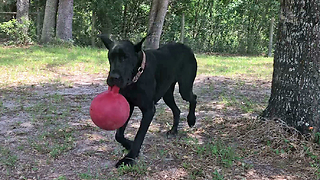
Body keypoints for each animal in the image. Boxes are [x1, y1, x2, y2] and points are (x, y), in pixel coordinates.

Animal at [98, 34, 198, 167]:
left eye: (126, 57)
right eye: (110, 57)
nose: (113, 78)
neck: (137, 76)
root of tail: (187, 48)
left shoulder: (149, 110)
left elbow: (139, 136)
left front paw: (129, 158)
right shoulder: (128, 105)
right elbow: (118, 135)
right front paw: (129, 144)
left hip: (184, 88)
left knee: (194, 98)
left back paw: (191, 119)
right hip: (167, 94)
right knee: (176, 110)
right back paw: (173, 130)